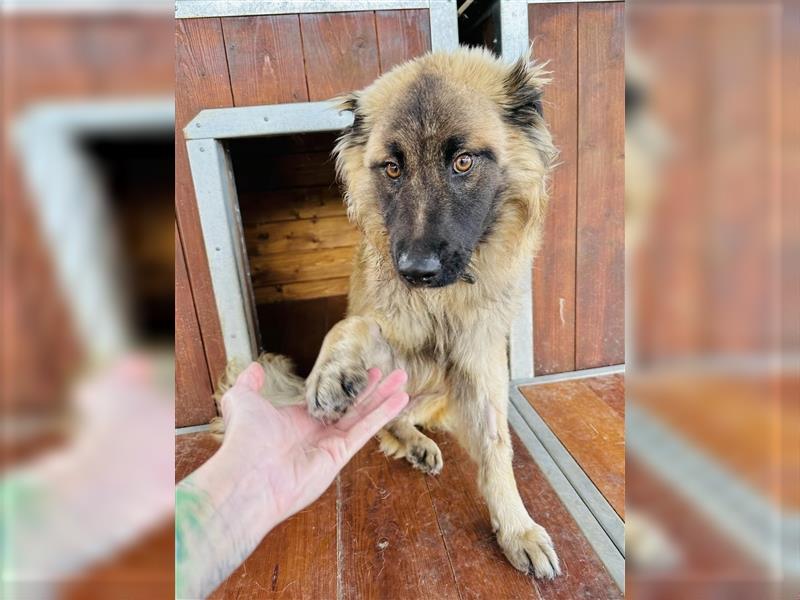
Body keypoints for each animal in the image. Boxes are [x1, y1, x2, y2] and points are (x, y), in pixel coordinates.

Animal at [216, 47, 560, 580]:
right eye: (392, 169)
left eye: (463, 162)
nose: (415, 272)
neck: (444, 302)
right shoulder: (392, 334)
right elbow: (353, 323)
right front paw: (331, 373)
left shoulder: (481, 362)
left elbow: (496, 446)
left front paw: (515, 527)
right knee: (387, 419)